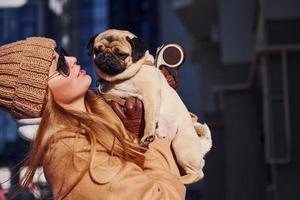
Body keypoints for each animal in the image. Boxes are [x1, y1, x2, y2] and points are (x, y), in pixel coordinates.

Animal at [88, 28, 212, 184]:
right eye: (97, 50)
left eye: (121, 54)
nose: (106, 56)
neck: (121, 78)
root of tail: (201, 147)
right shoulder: (109, 92)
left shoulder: (150, 94)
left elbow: (149, 117)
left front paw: (148, 135)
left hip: (180, 144)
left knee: (198, 173)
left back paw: (180, 179)